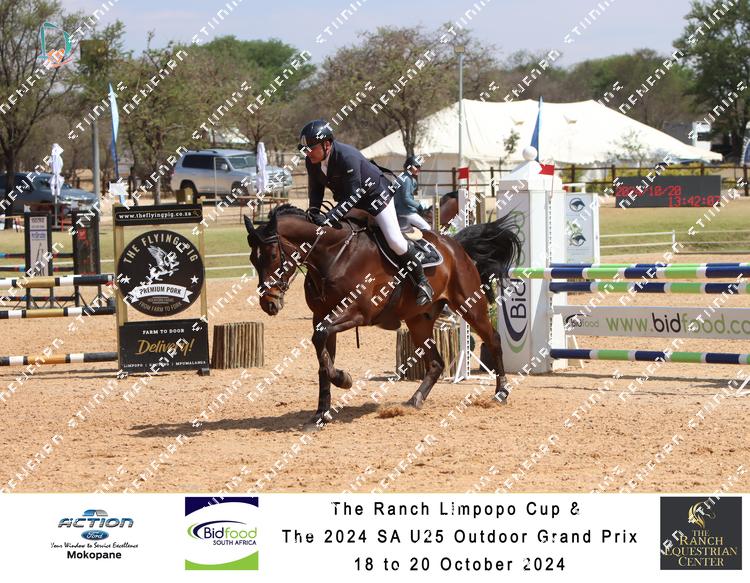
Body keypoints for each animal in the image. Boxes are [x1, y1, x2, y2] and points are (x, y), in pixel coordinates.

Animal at [244, 205, 521, 425]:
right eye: (252, 259)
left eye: (272, 255)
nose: (269, 303)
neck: (333, 256)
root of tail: (456, 246)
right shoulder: (321, 317)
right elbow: (322, 357)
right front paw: (321, 413)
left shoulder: (357, 313)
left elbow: (322, 343)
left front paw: (344, 379)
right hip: (418, 320)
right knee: (436, 363)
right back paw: (414, 401)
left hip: (470, 306)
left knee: (493, 340)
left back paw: (501, 394)